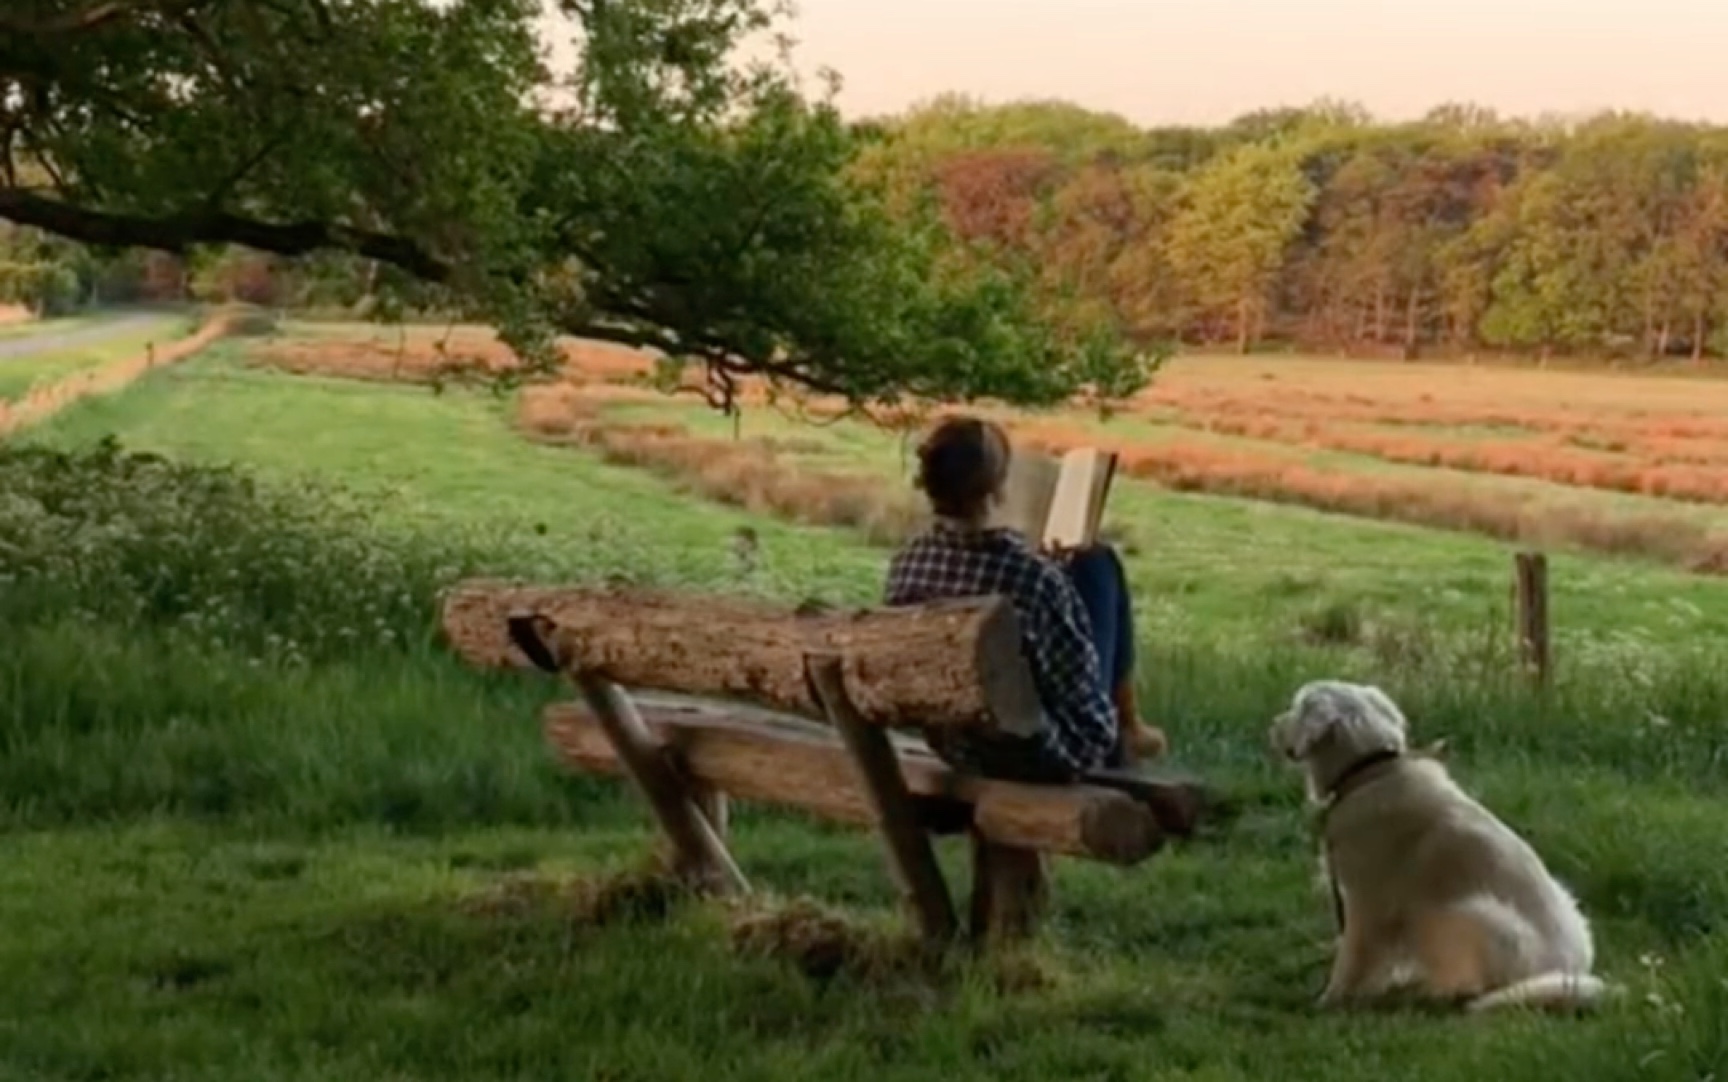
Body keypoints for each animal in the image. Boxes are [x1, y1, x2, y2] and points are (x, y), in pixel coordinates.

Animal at [1271, 677, 1603, 1009]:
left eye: (1297, 707)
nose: (1273, 724)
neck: (1371, 772)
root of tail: (1568, 976)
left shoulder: (1365, 903)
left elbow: (1350, 957)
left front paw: (1330, 999)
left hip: (1470, 911)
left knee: (1473, 986)